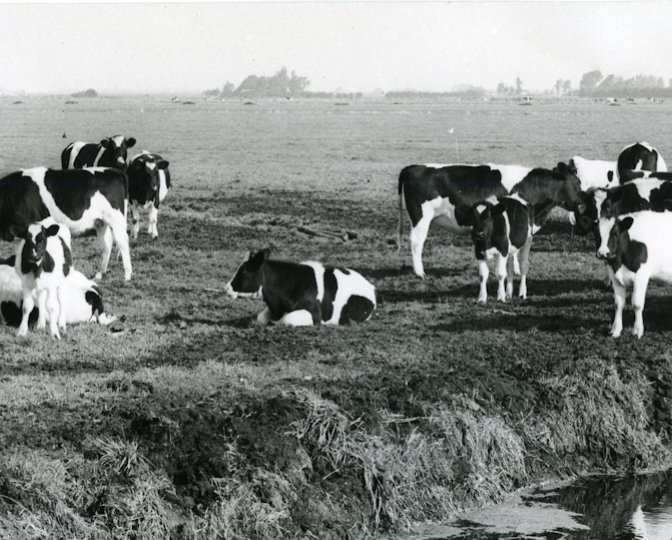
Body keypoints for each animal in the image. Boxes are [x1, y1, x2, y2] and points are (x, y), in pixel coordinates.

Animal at [0, 167, 132, 281]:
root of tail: (115, 171)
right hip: (100, 222)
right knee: (106, 244)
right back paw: (99, 274)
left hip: (116, 219)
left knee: (122, 242)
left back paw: (127, 276)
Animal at [224, 249, 376, 326]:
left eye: (245, 271)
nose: (226, 288)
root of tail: (370, 286)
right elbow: (261, 318)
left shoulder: (314, 314)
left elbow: (288, 320)